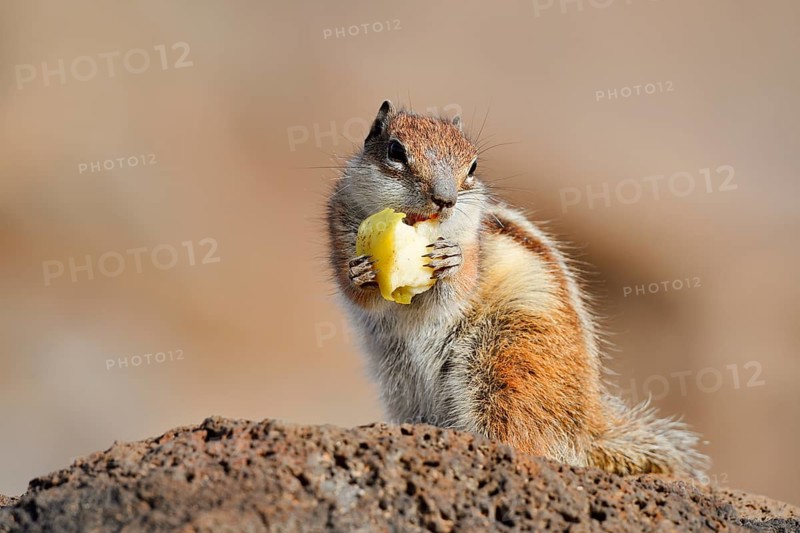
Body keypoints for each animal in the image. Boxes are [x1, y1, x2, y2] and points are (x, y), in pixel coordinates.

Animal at [327, 100, 709, 478]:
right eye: (395, 151)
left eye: (473, 165)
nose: (445, 200)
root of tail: (587, 429)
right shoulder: (338, 223)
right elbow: (356, 291)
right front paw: (360, 272)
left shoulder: (474, 249)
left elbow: (456, 288)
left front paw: (451, 261)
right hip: (401, 378)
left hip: (508, 361)